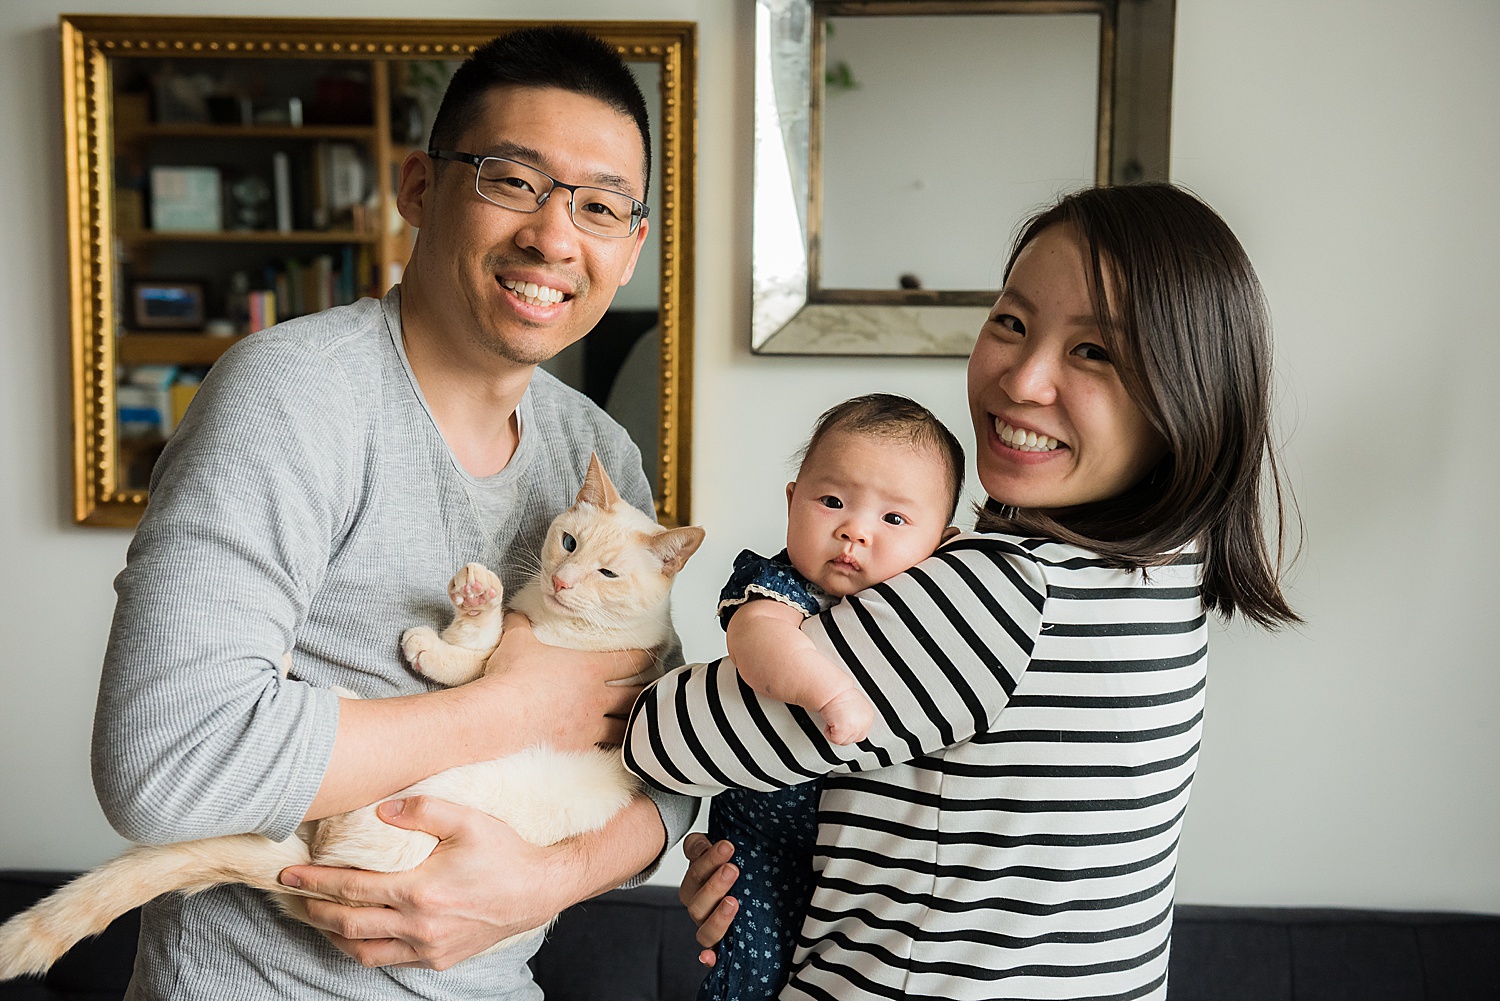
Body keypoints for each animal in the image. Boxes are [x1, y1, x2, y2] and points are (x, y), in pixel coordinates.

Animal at [0, 456, 705, 984]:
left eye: (606, 572)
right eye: (568, 542)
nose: (563, 582)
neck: (549, 616)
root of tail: (311, 883)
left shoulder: (507, 674)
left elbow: (467, 651)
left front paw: (459, 615)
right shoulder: (500, 660)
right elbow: (476, 644)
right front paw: (478, 600)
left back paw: (299, 672)